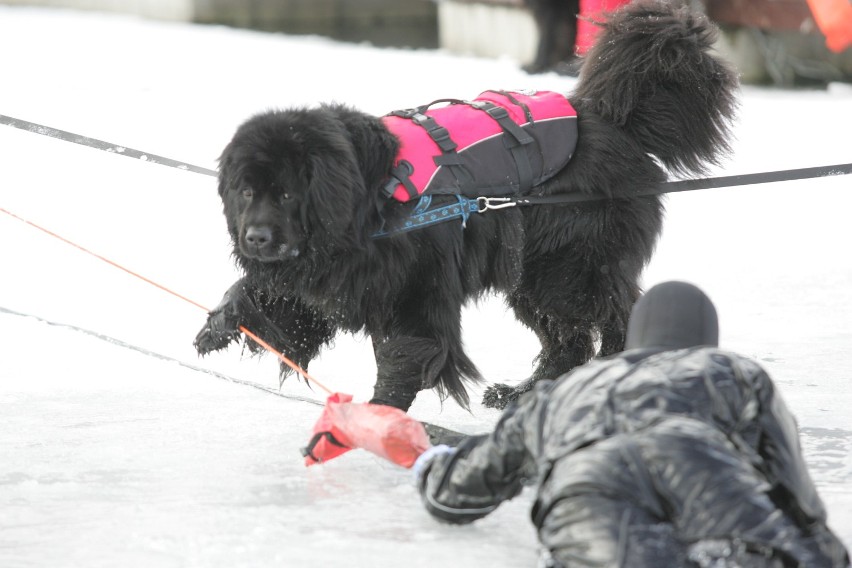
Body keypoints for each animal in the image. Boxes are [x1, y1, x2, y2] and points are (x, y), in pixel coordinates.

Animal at [195, 2, 740, 414]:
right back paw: (521, 395)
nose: (255, 237)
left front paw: (378, 415)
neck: (368, 198)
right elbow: (267, 293)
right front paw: (218, 324)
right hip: (534, 274)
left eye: (288, 193)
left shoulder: (417, 288)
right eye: (246, 191)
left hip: (572, 270)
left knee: (612, 318)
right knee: (566, 339)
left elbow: (408, 351)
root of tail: (613, 120)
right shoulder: (327, 273)